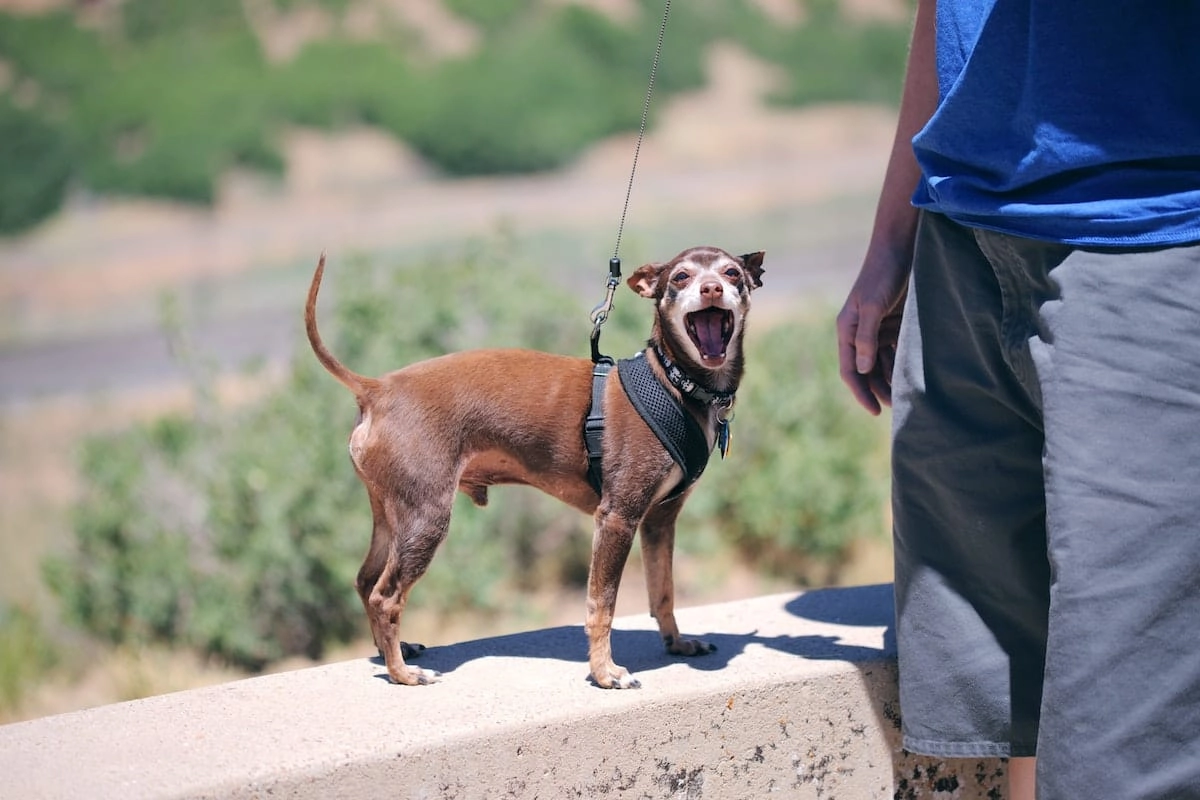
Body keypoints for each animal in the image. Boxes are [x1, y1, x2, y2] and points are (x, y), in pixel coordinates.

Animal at [304, 245, 763, 690]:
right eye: (681, 277)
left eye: (731, 273)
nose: (711, 288)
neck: (675, 383)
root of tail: (377, 389)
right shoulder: (617, 519)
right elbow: (602, 604)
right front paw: (604, 673)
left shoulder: (659, 521)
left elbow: (663, 592)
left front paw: (676, 642)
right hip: (425, 518)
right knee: (386, 596)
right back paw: (402, 673)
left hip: (391, 515)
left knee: (366, 581)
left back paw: (391, 652)